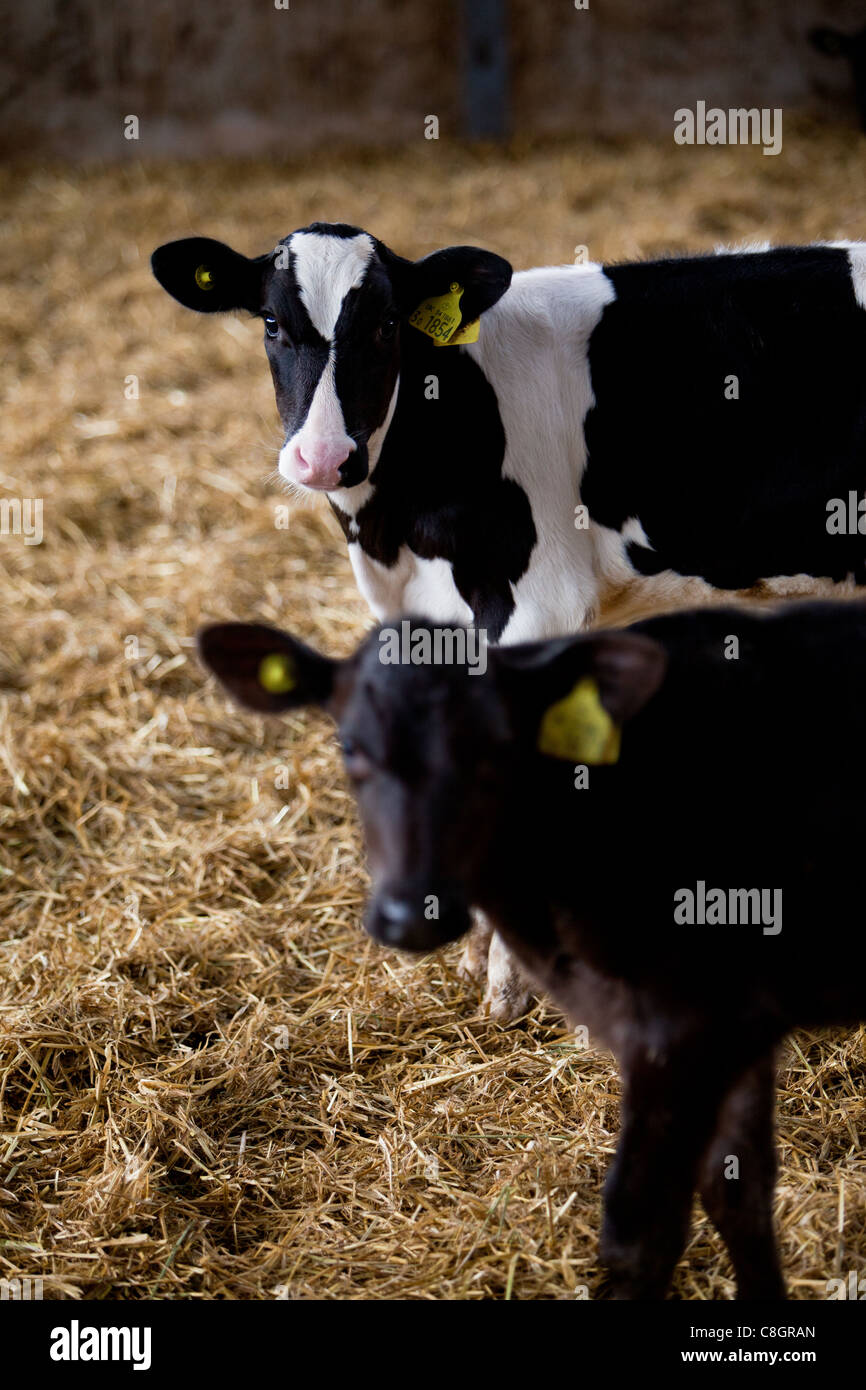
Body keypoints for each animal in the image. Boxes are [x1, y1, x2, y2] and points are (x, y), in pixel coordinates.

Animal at [153, 225, 866, 1017]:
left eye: (386, 324)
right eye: (273, 324)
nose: (324, 457)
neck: (395, 532)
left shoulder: (538, 608)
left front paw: (508, 984)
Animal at [197, 601, 866, 1299]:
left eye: (498, 746)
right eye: (349, 745)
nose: (413, 913)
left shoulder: (686, 1026)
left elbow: (640, 1232)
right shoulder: (739, 1022)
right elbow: (738, 1190)